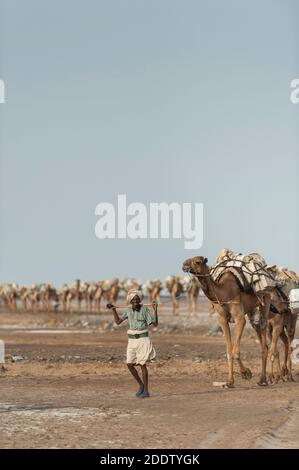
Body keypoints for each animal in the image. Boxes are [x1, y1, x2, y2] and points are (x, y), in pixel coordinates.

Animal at [183, 258, 272, 386]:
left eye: (198, 261)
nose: (184, 265)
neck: (223, 292)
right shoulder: (222, 319)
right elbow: (229, 351)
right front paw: (230, 381)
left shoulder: (239, 318)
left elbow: (235, 351)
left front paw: (246, 373)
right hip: (252, 310)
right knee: (258, 330)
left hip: (265, 300)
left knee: (264, 335)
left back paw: (263, 380)